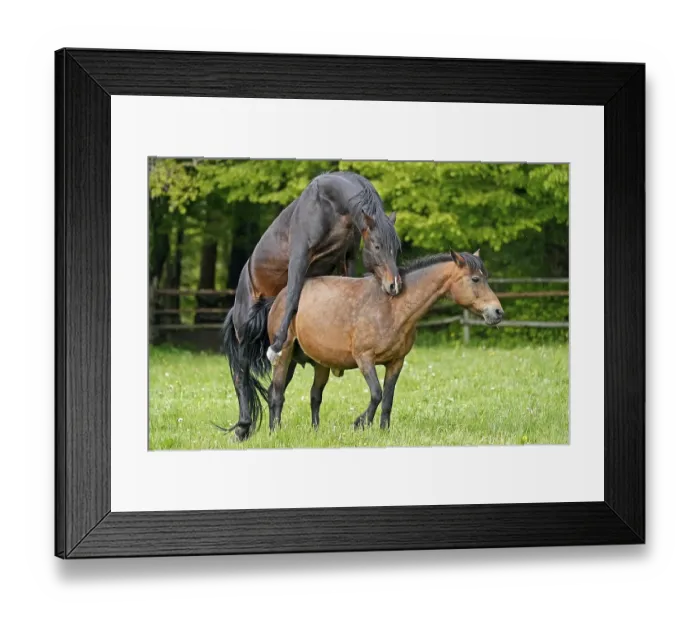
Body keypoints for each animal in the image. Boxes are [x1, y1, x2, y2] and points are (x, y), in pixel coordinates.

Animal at [221, 170, 402, 440]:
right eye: (378, 246)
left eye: (397, 248)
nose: (394, 286)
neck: (330, 204)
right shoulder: (299, 258)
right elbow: (293, 295)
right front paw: (276, 344)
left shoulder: (347, 258)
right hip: (244, 339)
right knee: (241, 378)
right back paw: (243, 427)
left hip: (288, 360)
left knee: (275, 388)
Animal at [264, 250, 504, 432]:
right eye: (475, 279)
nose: (498, 312)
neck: (393, 308)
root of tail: (281, 297)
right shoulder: (364, 359)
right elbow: (376, 394)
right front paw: (361, 424)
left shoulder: (396, 362)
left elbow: (388, 399)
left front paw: (383, 430)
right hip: (284, 355)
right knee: (277, 393)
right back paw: (274, 430)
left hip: (319, 363)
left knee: (313, 396)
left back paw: (314, 430)